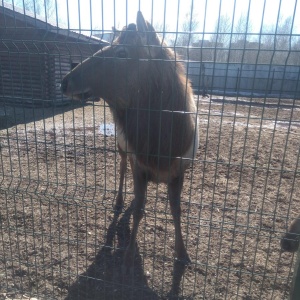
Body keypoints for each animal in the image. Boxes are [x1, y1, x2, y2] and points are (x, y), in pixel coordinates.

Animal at [60, 11, 199, 272]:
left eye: (122, 52)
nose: (65, 81)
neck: (163, 145)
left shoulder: (180, 170)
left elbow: (176, 210)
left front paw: (183, 253)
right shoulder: (139, 166)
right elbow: (139, 211)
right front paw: (128, 254)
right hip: (122, 148)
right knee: (122, 167)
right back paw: (119, 201)